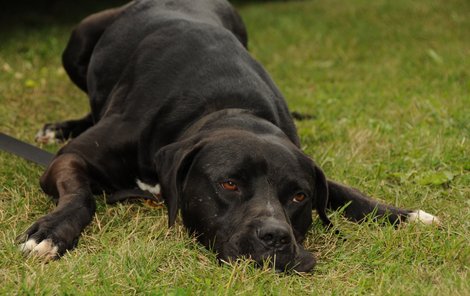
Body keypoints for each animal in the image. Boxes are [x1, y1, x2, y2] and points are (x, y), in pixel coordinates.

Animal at [17, 0, 436, 272]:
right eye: (229, 184)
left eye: (299, 197)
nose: (275, 237)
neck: (228, 108)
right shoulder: (71, 158)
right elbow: (80, 196)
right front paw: (51, 233)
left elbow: (347, 192)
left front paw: (406, 215)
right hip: (80, 37)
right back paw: (59, 127)